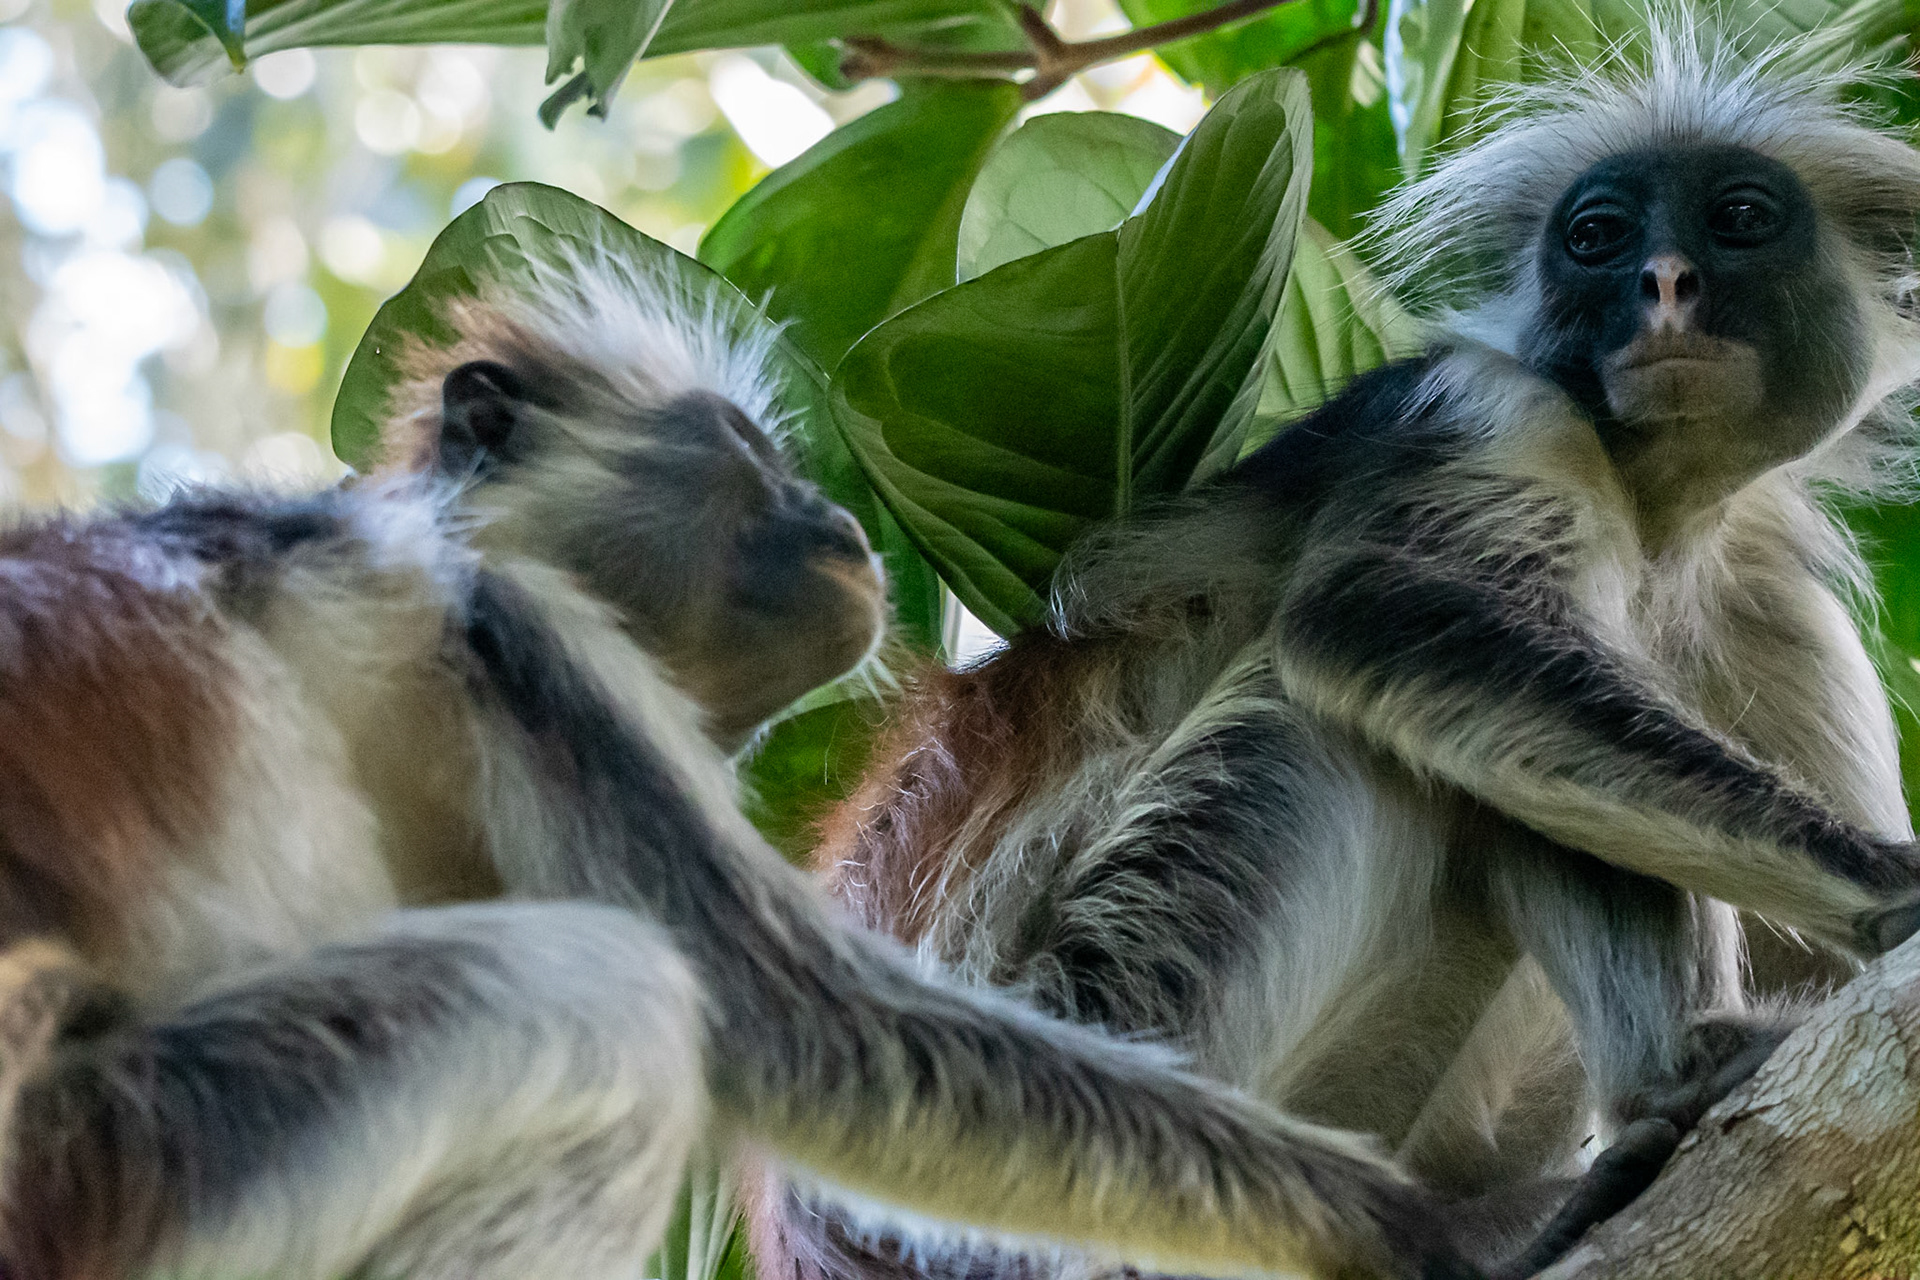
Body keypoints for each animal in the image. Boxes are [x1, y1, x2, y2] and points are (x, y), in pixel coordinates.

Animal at [0, 240, 1490, 1280]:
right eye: (750, 452)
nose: (836, 516)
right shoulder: (526, 626)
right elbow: (803, 1033)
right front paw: (1391, 1220)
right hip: (109, 1172)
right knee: (601, 1000)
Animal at [750, 26, 1920, 1280]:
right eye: (1597, 236)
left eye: (1739, 217)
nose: (1663, 282)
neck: (1656, 521)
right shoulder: (1485, 407)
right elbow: (1371, 613)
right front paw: (1896, 884)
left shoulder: (1770, 607)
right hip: (1056, 1105)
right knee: (1350, 717)